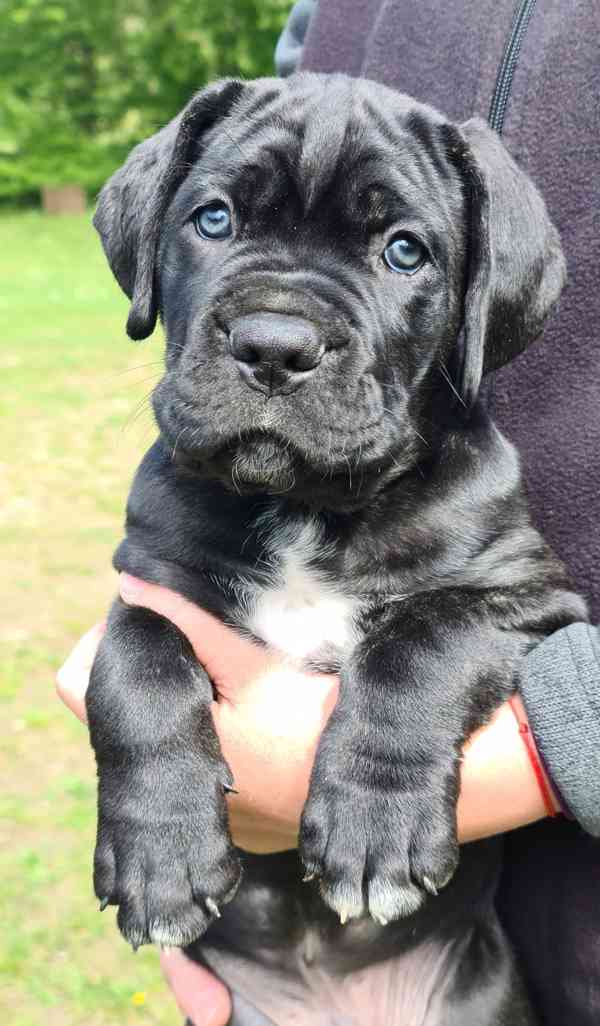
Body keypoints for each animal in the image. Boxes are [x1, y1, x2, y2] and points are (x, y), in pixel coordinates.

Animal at [88, 74, 586, 1026]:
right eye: (212, 220)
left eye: (405, 252)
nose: (274, 345)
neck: (304, 508)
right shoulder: (151, 584)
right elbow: (136, 667)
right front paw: (160, 855)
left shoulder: (530, 598)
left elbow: (422, 641)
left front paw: (375, 828)